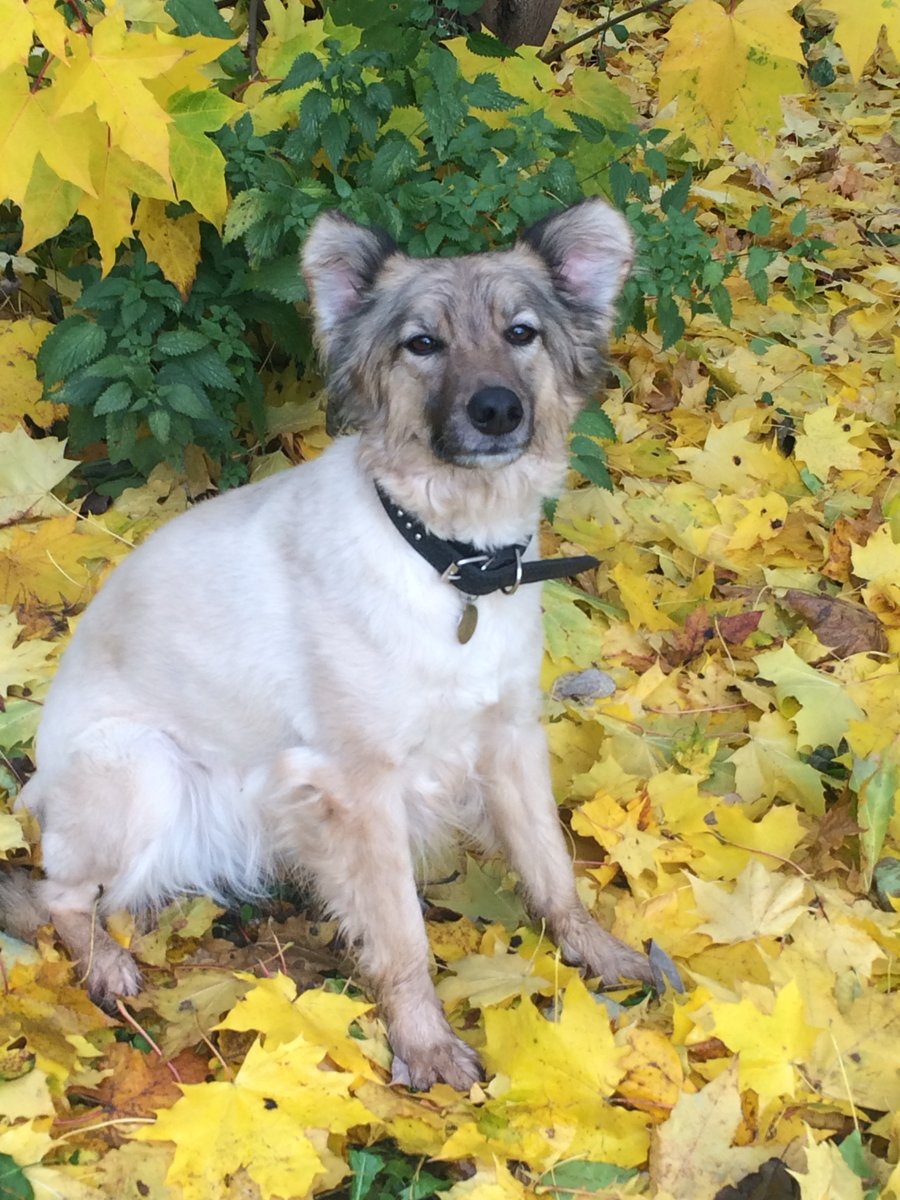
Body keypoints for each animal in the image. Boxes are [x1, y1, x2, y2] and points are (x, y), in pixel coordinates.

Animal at [1, 198, 651, 1090]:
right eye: (422, 343)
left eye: (521, 333)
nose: (495, 410)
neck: (451, 561)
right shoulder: (361, 787)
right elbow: (403, 936)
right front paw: (423, 1043)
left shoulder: (510, 740)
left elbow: (552, 873)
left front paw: (598, 953)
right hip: (142, 772)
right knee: (58, 899)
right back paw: (105, 965)